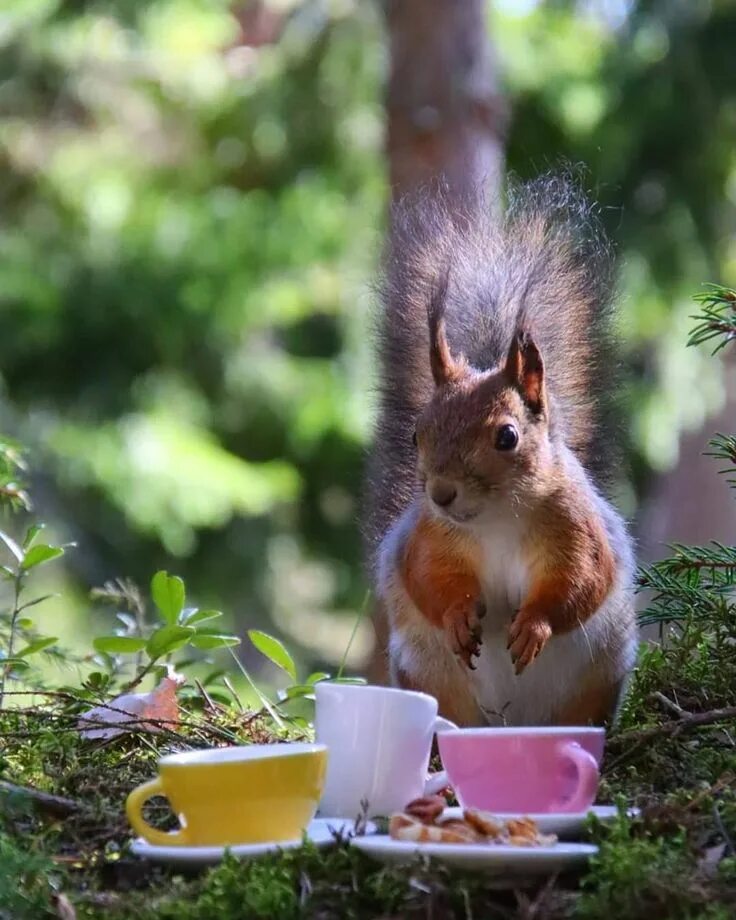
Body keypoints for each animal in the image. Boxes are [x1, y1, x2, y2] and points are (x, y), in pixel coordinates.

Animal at [366, 176, 640, 728]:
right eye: (416, 435)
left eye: (507, 437)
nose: (441, 494)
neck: (496, 519)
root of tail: (514, 720)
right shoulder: (429, 538)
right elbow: (427, 576)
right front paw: (457, 617)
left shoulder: (577, 528)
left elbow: (581, 581)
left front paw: (533, 626)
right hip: (428, 679)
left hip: (597, 682)